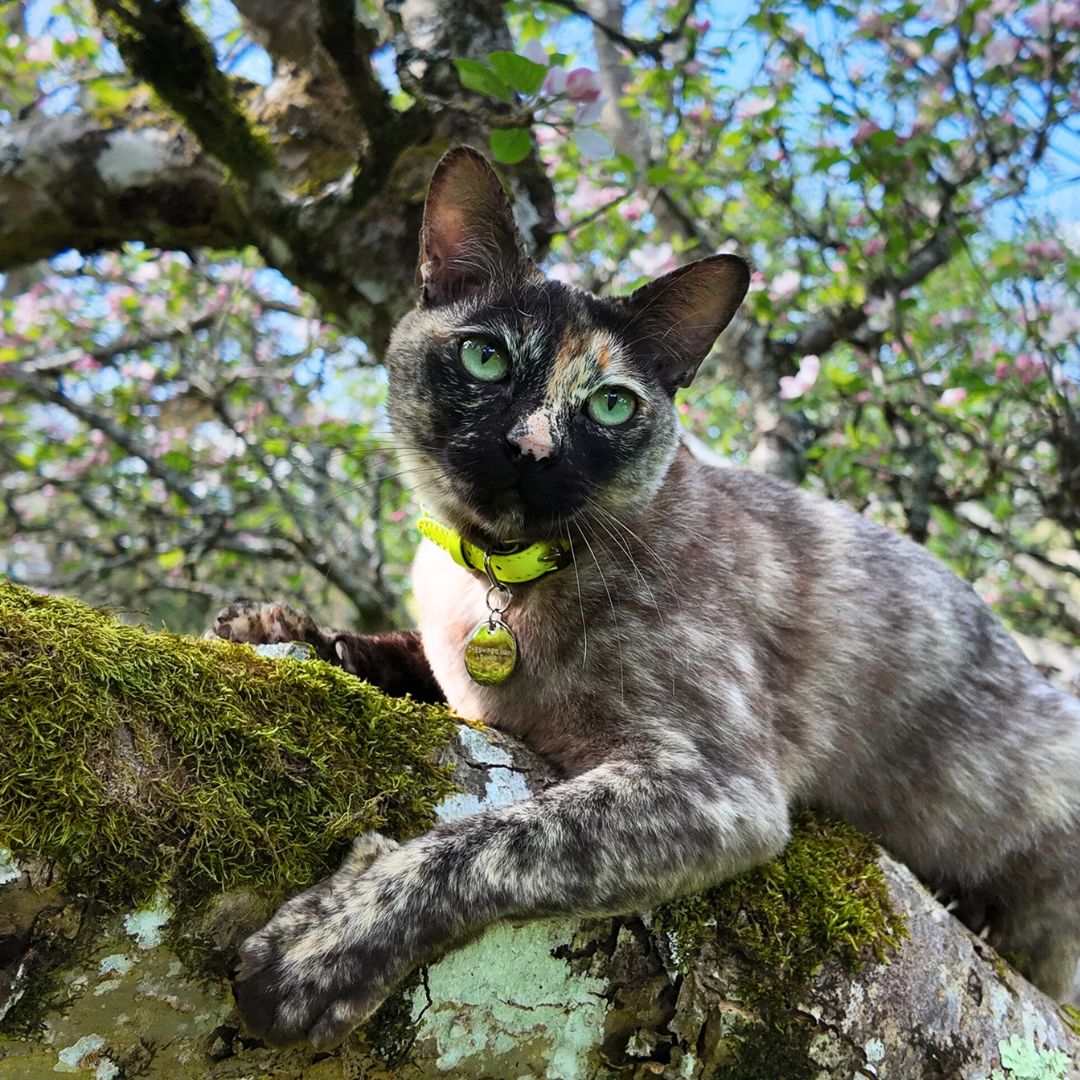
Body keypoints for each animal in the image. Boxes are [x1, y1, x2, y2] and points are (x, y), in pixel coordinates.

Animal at [210, 143, 1080, 1045]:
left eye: (611, 404)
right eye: (486, 357)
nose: (532, 449)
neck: (502, 585)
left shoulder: (716, 789)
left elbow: (490, 844)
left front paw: (320, 951)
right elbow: (399, 658)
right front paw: (293, 629)